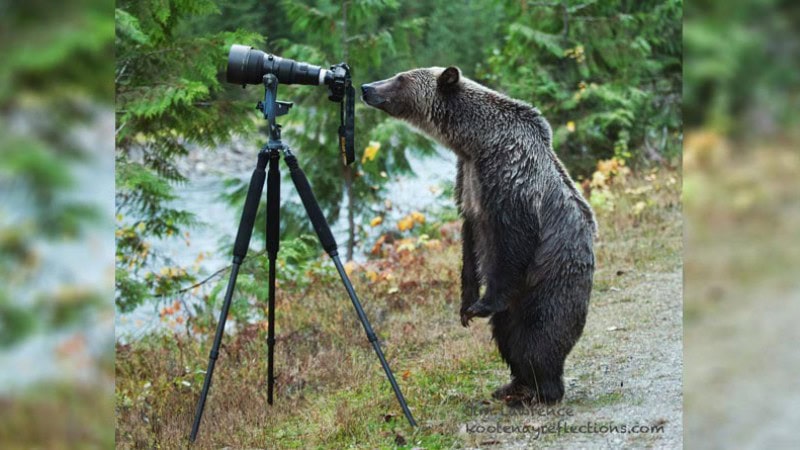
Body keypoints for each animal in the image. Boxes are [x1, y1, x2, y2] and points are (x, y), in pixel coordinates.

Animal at [361, 66, 597, 404]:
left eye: (400, 78)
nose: (366, 87)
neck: (476, 143)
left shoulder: (510, 178)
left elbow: (513, 241)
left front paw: (481, 304)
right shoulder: (468, 181)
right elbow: (469, 242)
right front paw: (466, 306)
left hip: (550, 281)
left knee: (538, 335)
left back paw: (541, 389)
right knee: (507, 335)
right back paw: (513, 385)